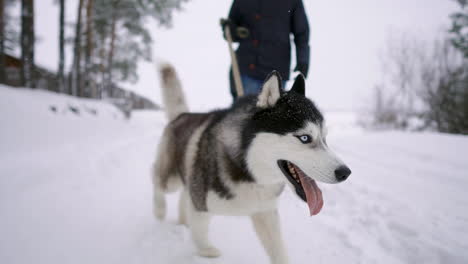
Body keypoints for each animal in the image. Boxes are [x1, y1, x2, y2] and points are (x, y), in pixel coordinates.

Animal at [154, 64, 352, 264]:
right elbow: (199, 236)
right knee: (158, 181)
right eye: (304, 138)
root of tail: (181, 115)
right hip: (171, 180)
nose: (345, 173)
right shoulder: (200, 205)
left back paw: (182, 219)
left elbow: (279, 251)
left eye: (325, 138)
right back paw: (159, 210)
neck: (250, 172)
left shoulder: (265, 212)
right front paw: (206, 250)